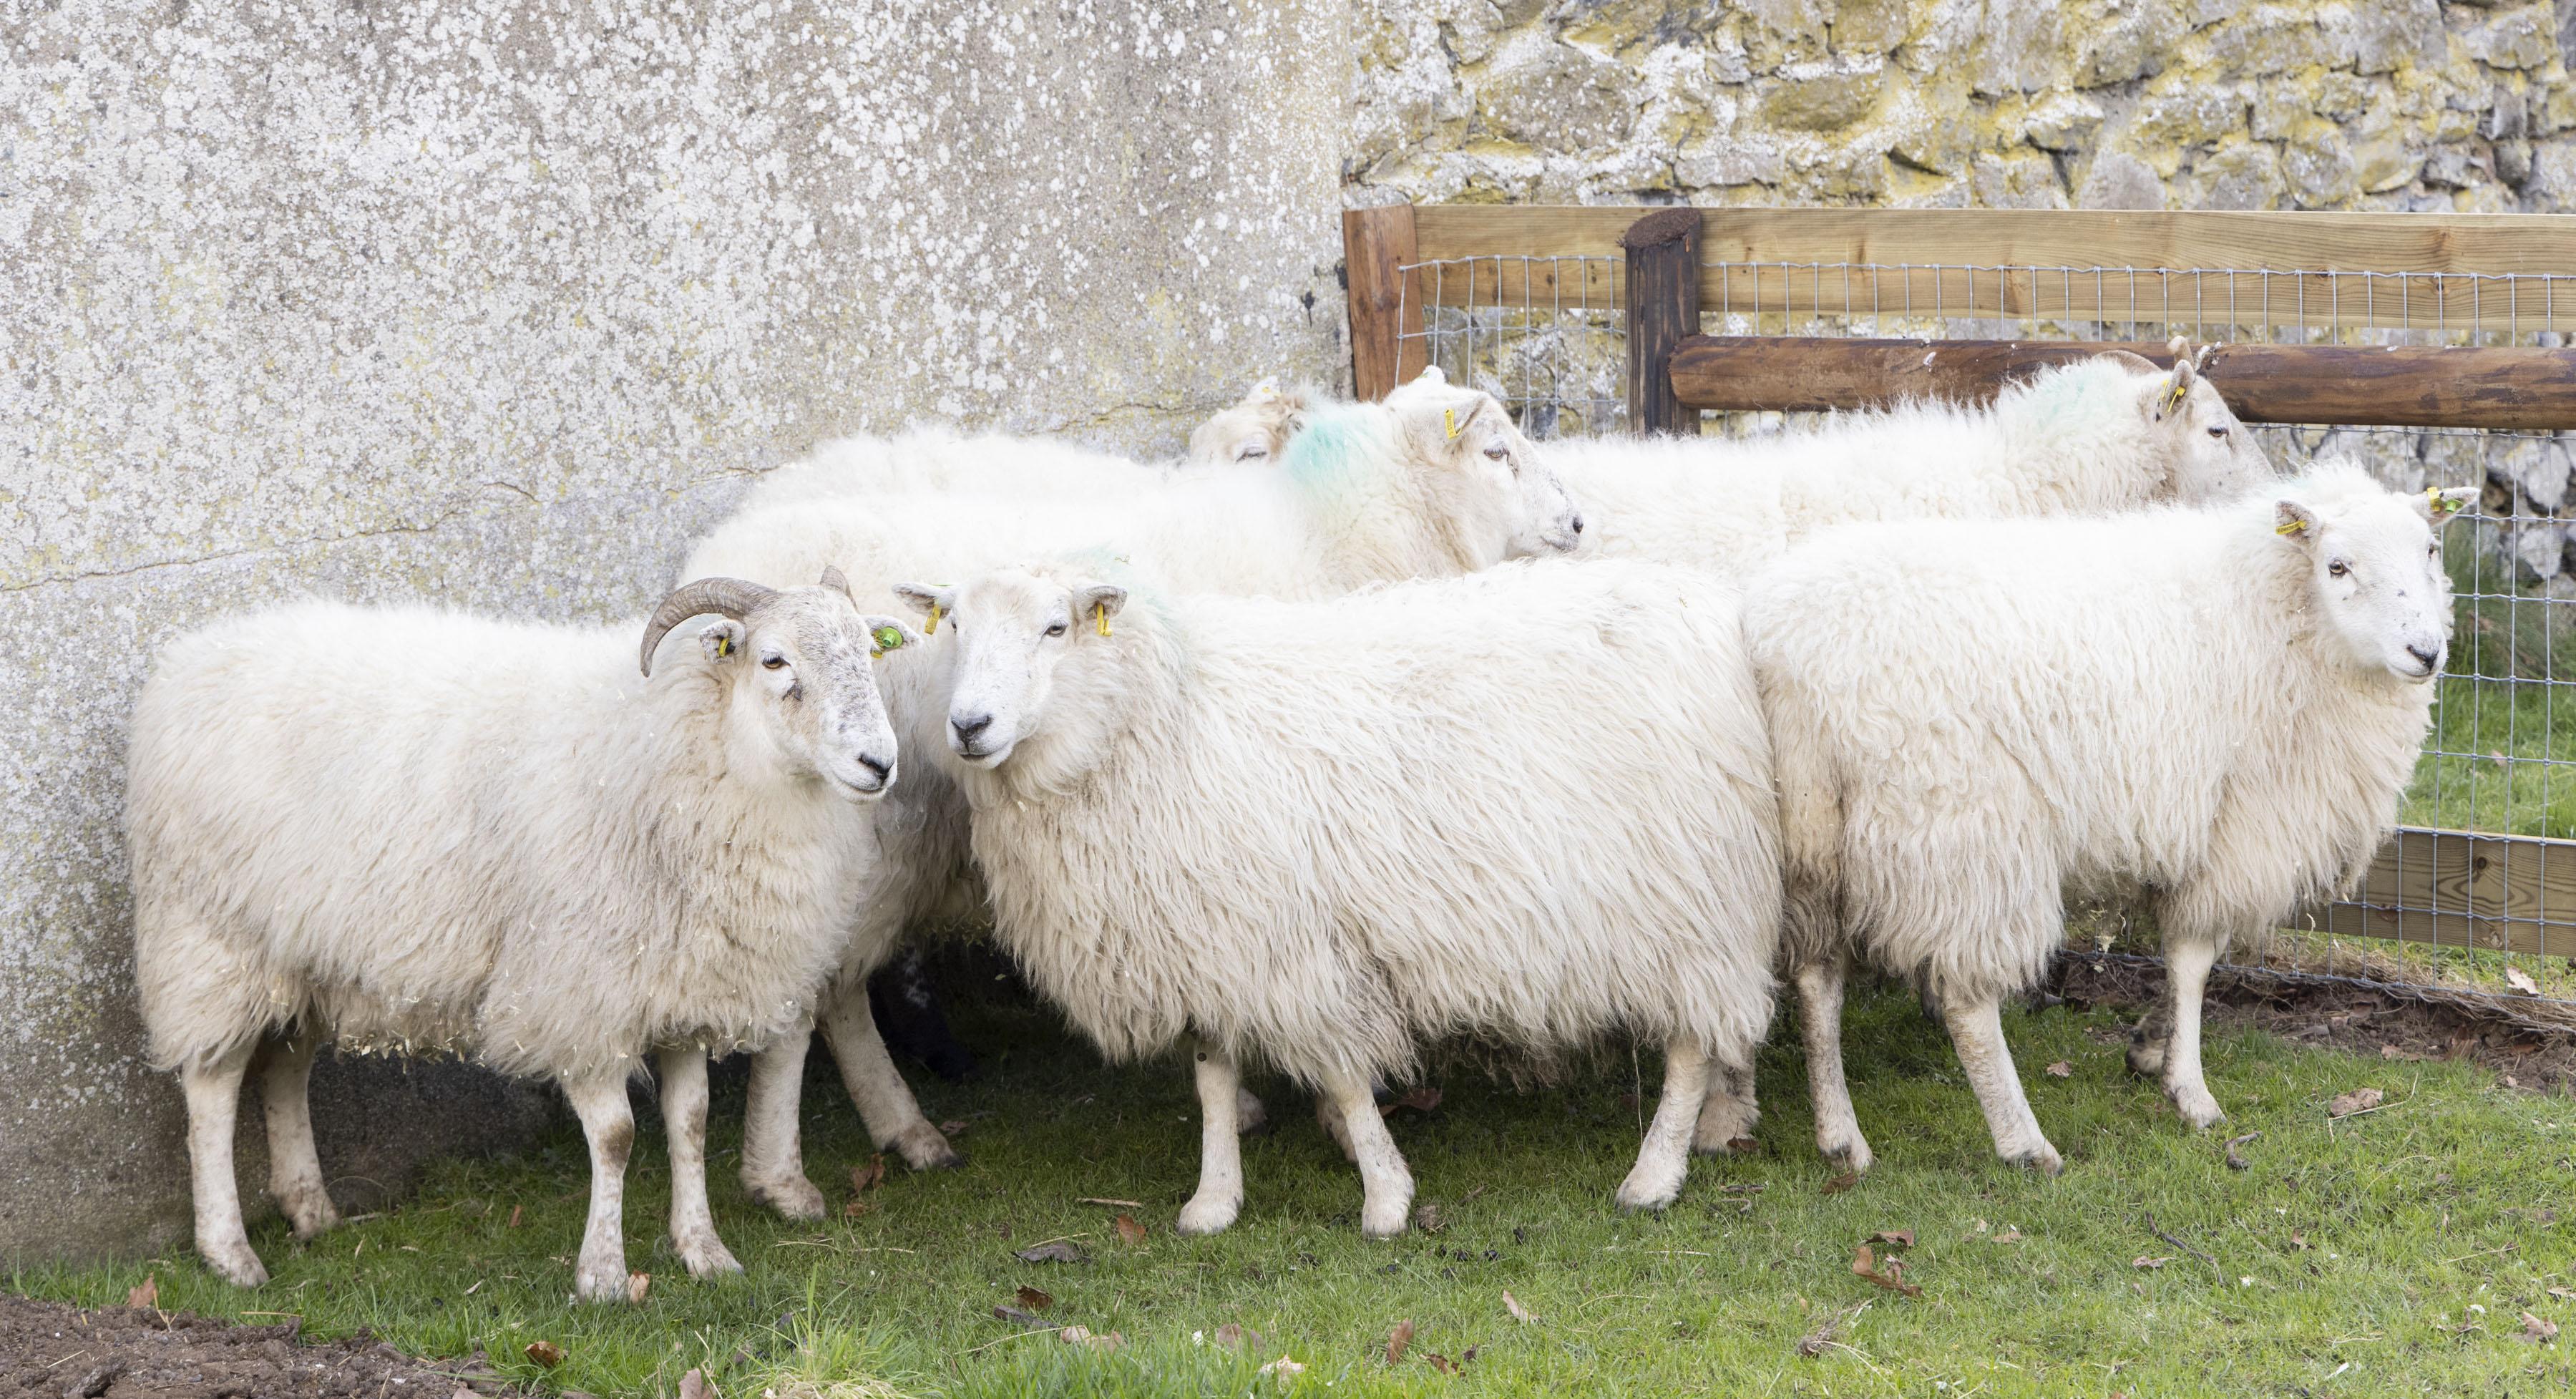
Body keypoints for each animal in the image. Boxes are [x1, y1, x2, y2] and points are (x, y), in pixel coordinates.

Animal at [130, 569, 922, 1303]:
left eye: (868, 650)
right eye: (775, 660)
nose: (879, 764)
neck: (679, 738)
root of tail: (191, 655)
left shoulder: (679, 984)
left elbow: (691, 1122)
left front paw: (704, 1250)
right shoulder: (581, 990)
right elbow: (617, 1135)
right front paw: (603, 1274)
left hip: (303, 952)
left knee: (284, 1069)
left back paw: (311, 1210)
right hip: (210, 938)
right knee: (212, 1087)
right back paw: (229, 1252)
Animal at [675, 368, 1576, 1216]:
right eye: (1498, 452)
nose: (1576, 524)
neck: (1331, 526)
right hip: (859, 820)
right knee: (816, 994)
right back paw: (835, 1150)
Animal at [907, 559, 1792, 1237]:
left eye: (1056, 627)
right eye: (952, 627)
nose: (969, 725)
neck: (1155, 721)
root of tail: (1708, 604)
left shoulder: (1299, 950)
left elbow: (1339, 1076)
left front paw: (1386, 1197)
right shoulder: (1215, 939)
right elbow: (1213, 1078)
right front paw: (1214, 1198)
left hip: (1689, 894)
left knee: (1691, 1041)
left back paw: (1656, 1169)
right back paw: (1717, 1126)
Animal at [1752, 466, 2473, 1174]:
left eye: (2431, 550)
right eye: (2337, 565)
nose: (2426, 651)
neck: (2275, 611)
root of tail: (1793, 651)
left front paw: (2152, 1041)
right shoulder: (2235, 826)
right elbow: (2195, 957)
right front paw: (2187, 1085)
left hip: (1815, 830)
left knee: (1817, 979)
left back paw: (1841, 1136)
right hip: (1962, 824)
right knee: (1966, 997)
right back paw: (2023, 1141)